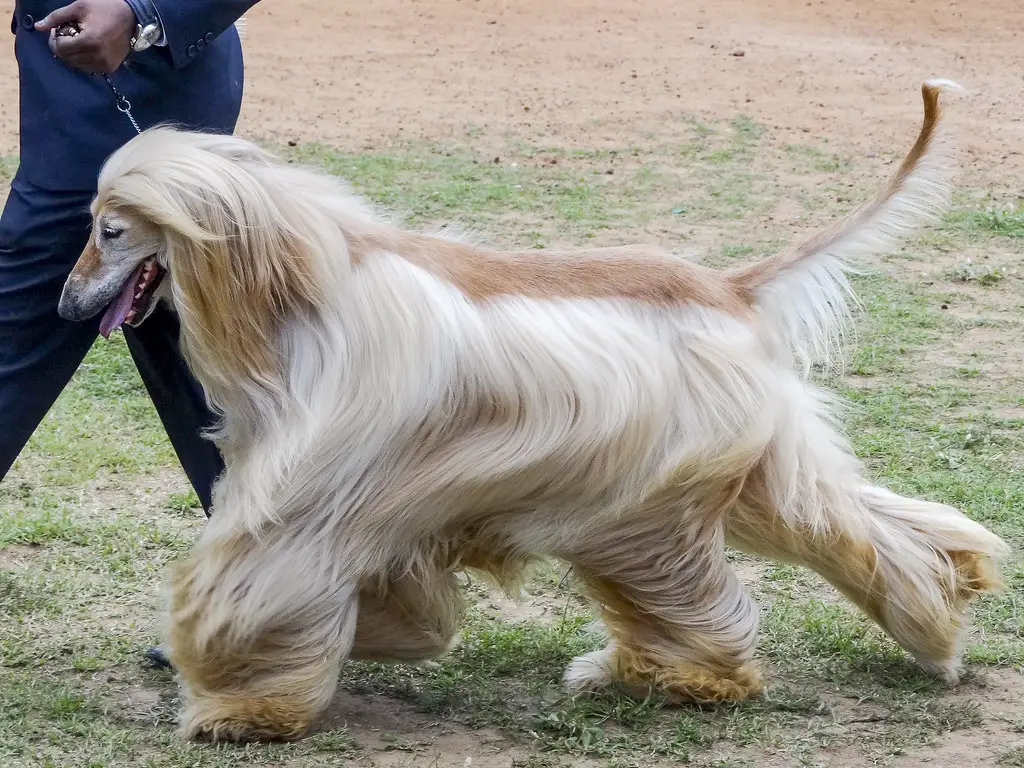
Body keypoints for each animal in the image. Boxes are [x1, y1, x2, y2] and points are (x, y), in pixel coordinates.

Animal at [61, 82, 1007, 745]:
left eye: (110, 230)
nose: (69, 306)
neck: (297, 293)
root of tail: (730, 288)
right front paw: (389, 630)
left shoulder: (320, 490)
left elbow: (258, 572)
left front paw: (235, 707)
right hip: (734, 471)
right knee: (846, 524)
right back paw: (939, 613)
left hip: (648, 499)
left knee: (698, 589)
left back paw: (680, 676)